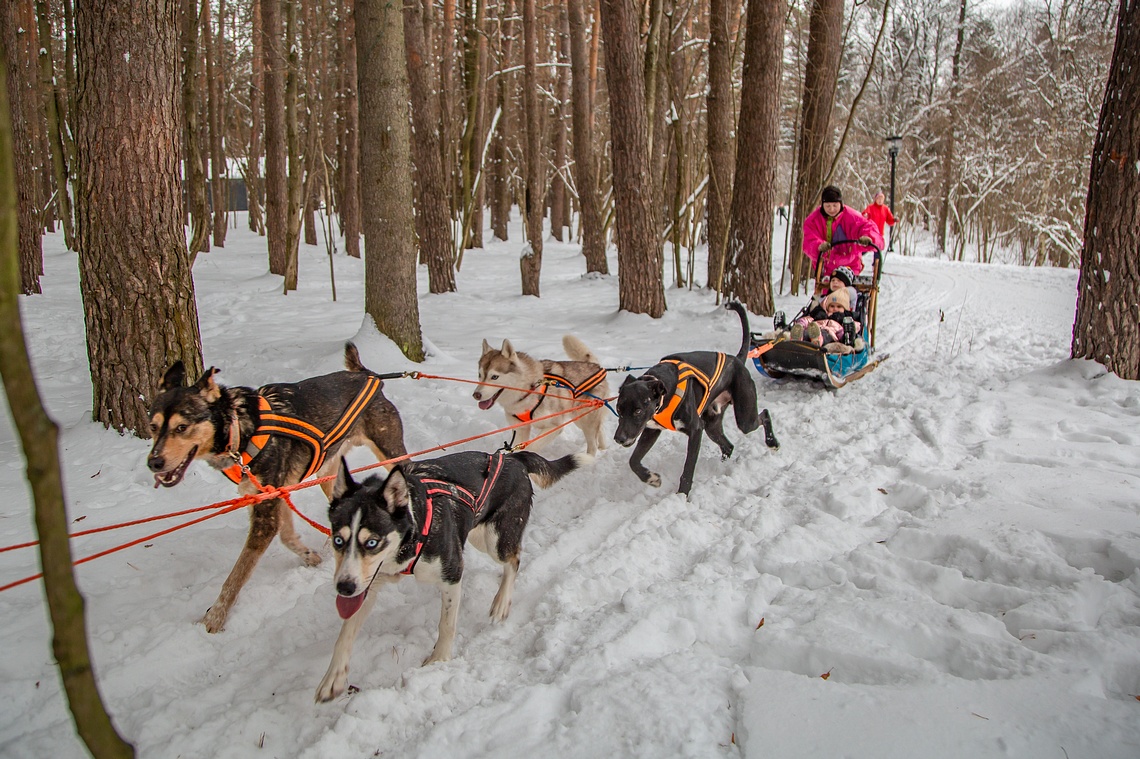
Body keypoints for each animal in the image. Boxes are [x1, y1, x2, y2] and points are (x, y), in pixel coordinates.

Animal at [145, 341, 405, 624]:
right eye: (152, 426)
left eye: (182, 427)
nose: (154, 462)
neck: (241, 430)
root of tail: (366, 375)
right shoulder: (272, 494)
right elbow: (287, 535)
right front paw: (310, 557)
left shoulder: (265, 516)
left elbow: (237, 576)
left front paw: (214, 619)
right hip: (329, 474)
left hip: (391, 452)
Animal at [620, 300, 779, 496]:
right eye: (619, 410)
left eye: (638, 411)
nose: (618, 438)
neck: (665, 388)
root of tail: (737, 360)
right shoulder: (651, 430)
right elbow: (633, 461)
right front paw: (651, 478)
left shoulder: (696, 430)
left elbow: (688, 469)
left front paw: (682, 495)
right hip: (712, 424)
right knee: (728, 446)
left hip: (744, 418)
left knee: (763, 414)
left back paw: (772, 442)